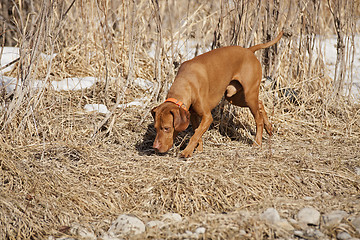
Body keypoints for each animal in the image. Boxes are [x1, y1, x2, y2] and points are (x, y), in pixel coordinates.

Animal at [150, 31, 282, 158]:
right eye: (155, 128)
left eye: (166, 128)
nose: (155, 147)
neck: (186, 81)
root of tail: (249, 50)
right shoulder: (192, 115)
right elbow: (197, 132)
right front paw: (198, 150)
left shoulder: (207, 116)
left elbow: (196, 134)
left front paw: (186, 152)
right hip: (234, 97)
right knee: (260, 103)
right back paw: (269, 128)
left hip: (249, 95)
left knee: (258, 118)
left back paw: (257, 142)